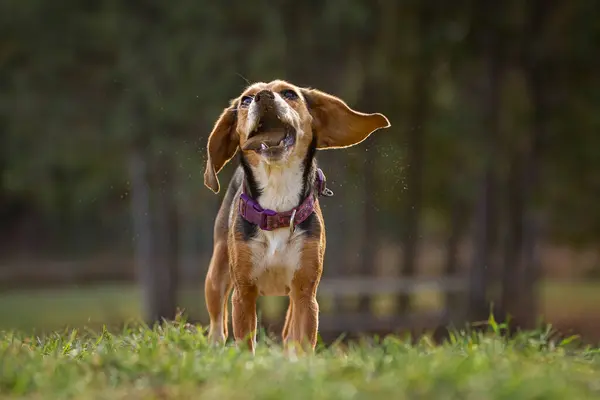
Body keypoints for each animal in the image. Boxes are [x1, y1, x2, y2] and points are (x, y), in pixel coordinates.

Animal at [202, 79, 390, 354]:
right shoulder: (244, 293)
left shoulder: (304, 292)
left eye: (289, 93)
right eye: (246, 99)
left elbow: (303, 340)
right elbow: (245, 340)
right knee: (218, 324)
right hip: (216, 274)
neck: (277, 204)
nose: (263, 96)